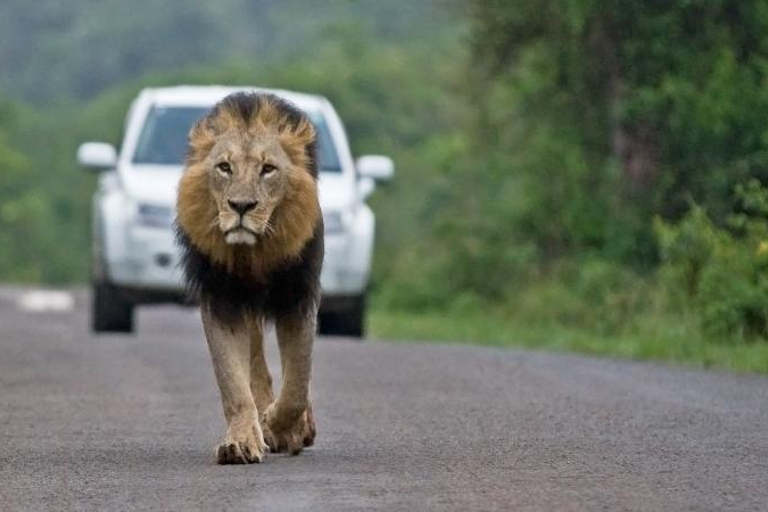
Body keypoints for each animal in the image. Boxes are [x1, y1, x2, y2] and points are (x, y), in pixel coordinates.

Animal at [176, 92, 320, 464]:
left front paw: (282, 426)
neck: (253, 254)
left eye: (268, 169)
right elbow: (233, 382)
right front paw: (241, 442)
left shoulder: (297, 296)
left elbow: (298, 382)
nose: (241, 206)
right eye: (224, 167)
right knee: (255, 365)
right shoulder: (221, 300)